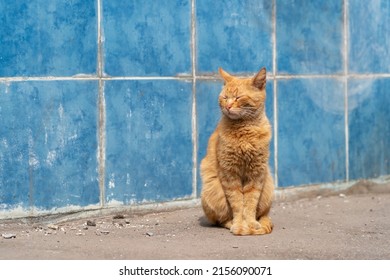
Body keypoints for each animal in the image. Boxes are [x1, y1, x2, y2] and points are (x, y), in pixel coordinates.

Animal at [201, 66, 274, 235]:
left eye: (238, 97)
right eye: (224, 97)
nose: (227, 106)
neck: (245, 132)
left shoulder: (256, 174)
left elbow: (250, 203)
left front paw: (251, 223)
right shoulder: (229, 174)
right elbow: (237, 203)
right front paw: (240, 225)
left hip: (268, 187)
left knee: (263, 214)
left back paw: (259, 222)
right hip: (212, 191)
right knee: (220, 220)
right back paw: (231, 223)